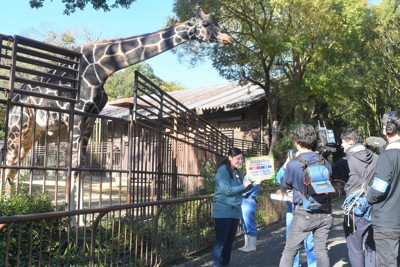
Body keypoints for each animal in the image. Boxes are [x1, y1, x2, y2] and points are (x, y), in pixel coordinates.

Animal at [3, 6, 233, 197]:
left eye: (217, 21)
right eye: (206, 24)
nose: (229, 39)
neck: (103, 67)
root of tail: (13, 101)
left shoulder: (90, 118)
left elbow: (81, 168)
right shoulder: (76, 116)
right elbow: (74, 168)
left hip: (33, 132)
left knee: (13, 167)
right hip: (18, 127)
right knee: (8, 162)